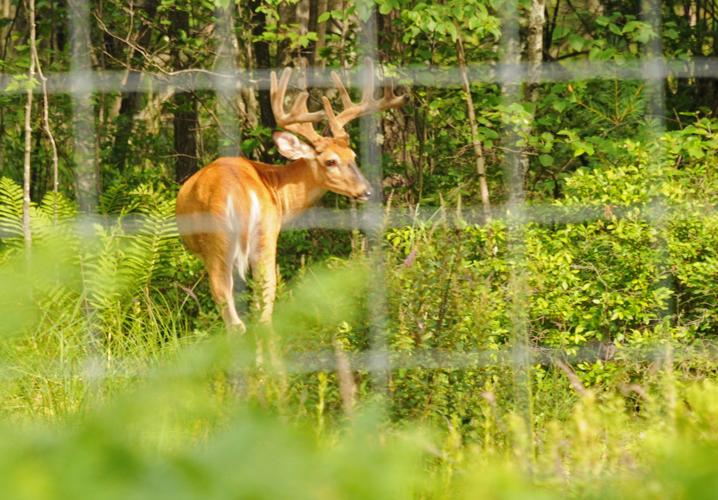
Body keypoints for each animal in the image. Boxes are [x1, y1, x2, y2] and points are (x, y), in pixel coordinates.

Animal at [175, 61, 406, 332]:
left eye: (353, 156)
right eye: (331, 161)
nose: (366, 190)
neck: (274, 184)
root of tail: (237, 195)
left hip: (222, 243)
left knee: (234, 311)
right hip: (260, 237)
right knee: (262, 308)